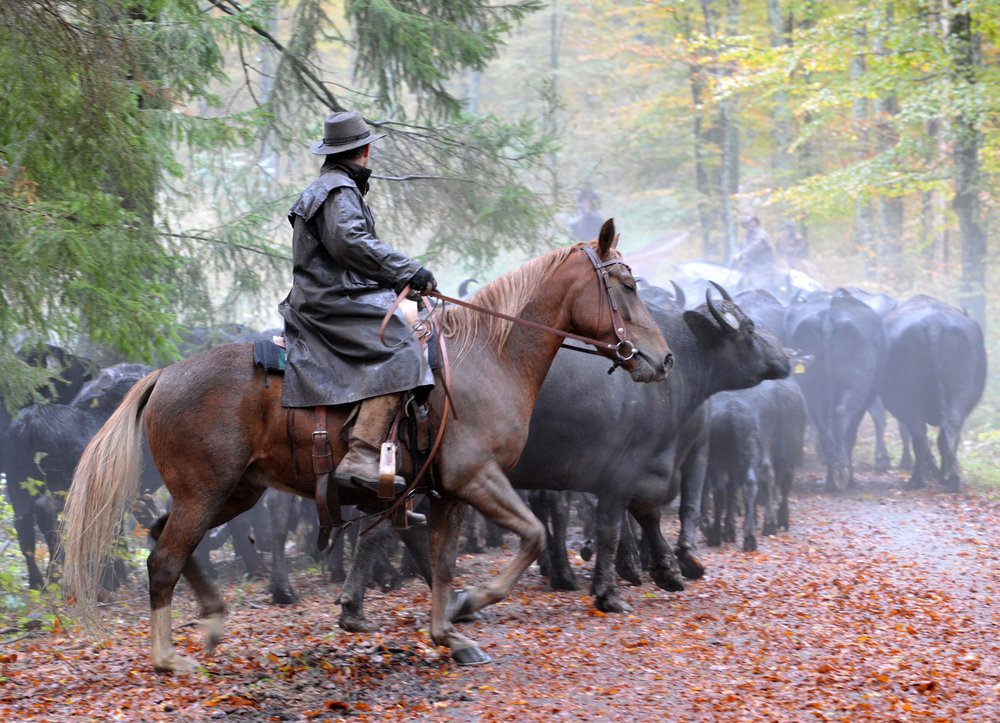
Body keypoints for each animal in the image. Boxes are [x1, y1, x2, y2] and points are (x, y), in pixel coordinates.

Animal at [62, 219, 672, 672]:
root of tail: (163, 375)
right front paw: (471, 604)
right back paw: (167, 657)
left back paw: (211, 617)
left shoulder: (448, 493)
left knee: (163, 537)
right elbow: (531, 535)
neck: (487, 358)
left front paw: (448, 633)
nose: (662, 358)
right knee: (164, 558)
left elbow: (443, 562)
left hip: (233, 492)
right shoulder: (478, 478)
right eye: (627, 286)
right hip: (205, 493)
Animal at [780, 288, 884, 492]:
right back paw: (842, 474)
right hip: (856, 386)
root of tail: (828, 316)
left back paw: (832, 477)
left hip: (812, 388)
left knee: (824, 426)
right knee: (842, 418)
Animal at [876, 296, 984, 492]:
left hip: (912, 401)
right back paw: (950, 478)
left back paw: (920, 479)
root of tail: (934, 325)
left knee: (922, 436)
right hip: (957, 394)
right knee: (947, 432)